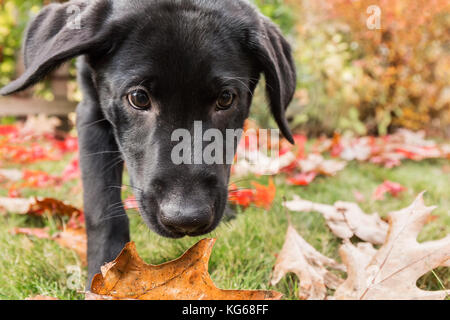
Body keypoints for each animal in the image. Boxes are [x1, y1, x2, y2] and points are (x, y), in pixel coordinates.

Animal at [0, 0, 296, 284]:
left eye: (226, 98)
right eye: (139, 98)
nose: (186, 219)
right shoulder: (91, 112)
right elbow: (101, 205)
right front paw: (104, 275)